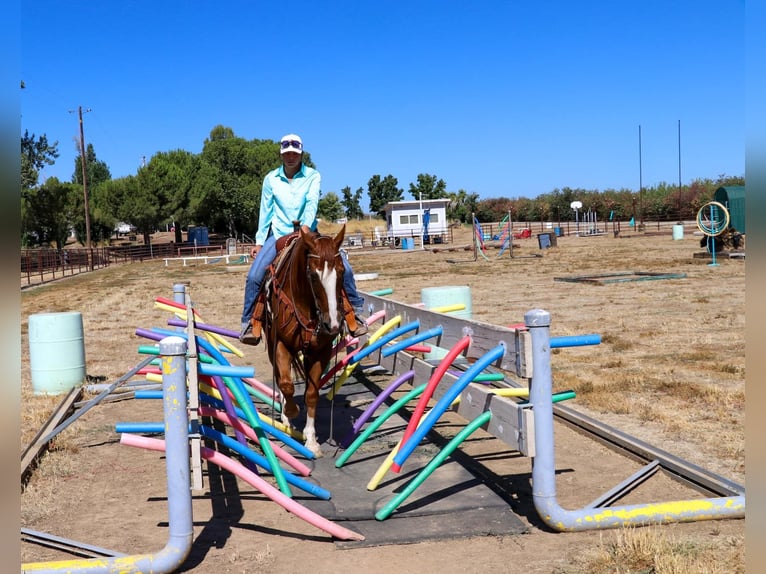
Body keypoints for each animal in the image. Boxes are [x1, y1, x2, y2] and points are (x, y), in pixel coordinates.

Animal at [261, 224, 347, 457]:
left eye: (342, 272)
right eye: (313, 275)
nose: (332, 324)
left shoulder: (321, 351)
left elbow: (311, 393)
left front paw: (311, 440)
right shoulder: (281, 344)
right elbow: (286, 384)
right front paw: (289, 412)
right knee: (281, 377)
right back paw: (285, 417)